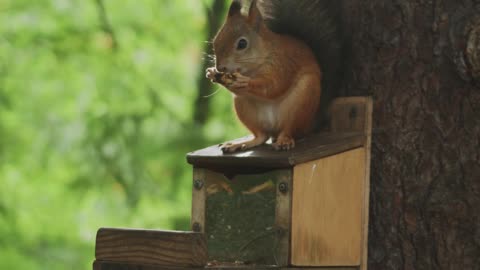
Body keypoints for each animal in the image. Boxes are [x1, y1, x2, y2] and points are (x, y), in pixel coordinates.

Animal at [207, 0, 338, 152]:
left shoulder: (284, 64)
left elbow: (273, 86)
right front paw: (212, 73)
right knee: (262, 136)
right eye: (215, 41)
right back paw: (242, 144)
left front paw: (244, 81)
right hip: (243, 106)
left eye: (242, 43)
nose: (220, 67)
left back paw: (284, 140)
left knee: (289, 130)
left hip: (303, 100)